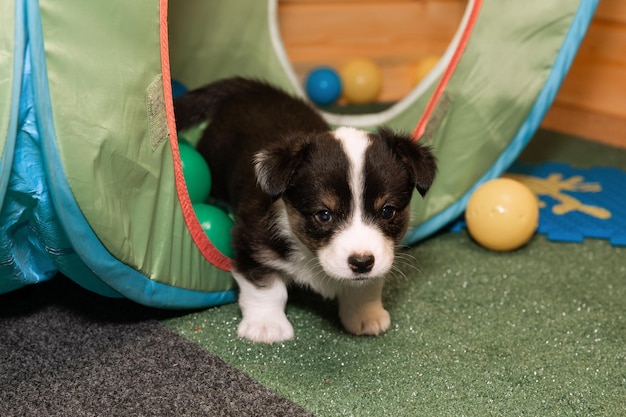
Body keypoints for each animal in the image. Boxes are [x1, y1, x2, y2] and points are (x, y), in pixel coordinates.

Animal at [171, 76, 434, 342]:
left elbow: (366, 286)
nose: (361, 263)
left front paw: (365, 315)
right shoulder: (252, 241)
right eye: (324, 215)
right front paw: (266, 326)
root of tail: (249, 88)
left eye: (387, 211)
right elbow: (265, 286)